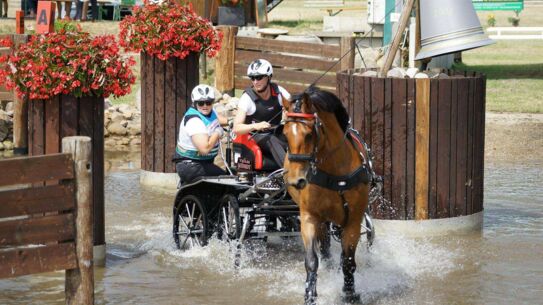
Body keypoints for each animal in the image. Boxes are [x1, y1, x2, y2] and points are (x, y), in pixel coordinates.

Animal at [282, 86, 372, 302]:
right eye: (285, 134)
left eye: (309, 134)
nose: (296, 180)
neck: (336, 173)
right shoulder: (309, 217)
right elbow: (311, 260)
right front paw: (309, 294)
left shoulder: (353, 221)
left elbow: (348, 261)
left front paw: (349, 293)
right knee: (324, 247)